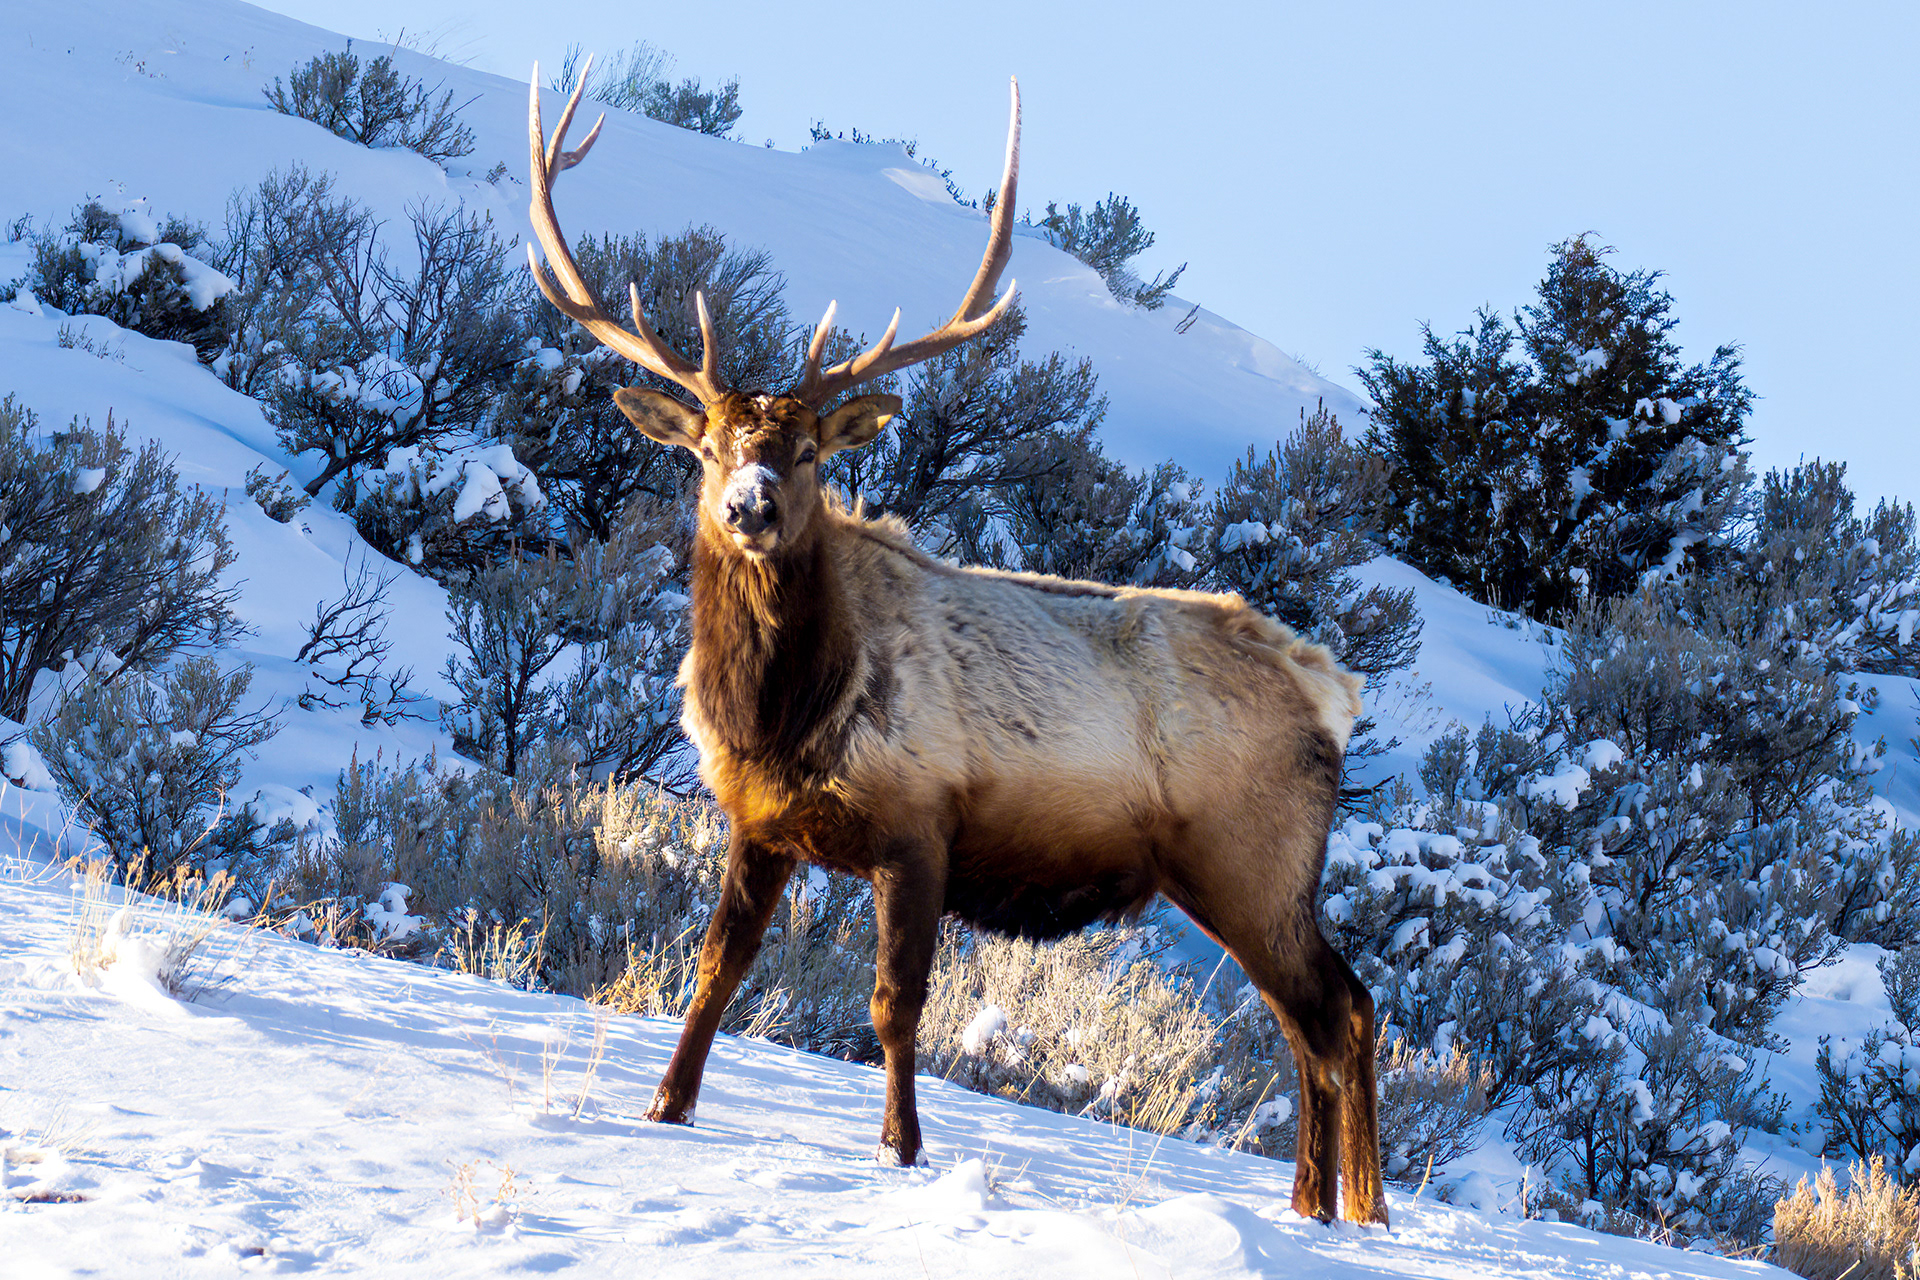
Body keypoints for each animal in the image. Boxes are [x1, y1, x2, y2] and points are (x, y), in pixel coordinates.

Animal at [526, 63, 1389, 1226]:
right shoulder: (759, 823)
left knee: (1339, 1008)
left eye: (808, 450)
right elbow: (713, 970)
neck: (785, 713)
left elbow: (896, 1004)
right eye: (707, 446)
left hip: (1252, 854)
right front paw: (663, 1107)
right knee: (1320, 1013)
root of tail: (1334, 691)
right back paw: (1322, 1206)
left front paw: (900, 1147)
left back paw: (1363, 1211)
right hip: (1244, 871)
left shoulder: (919, 826)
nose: (750, 505)